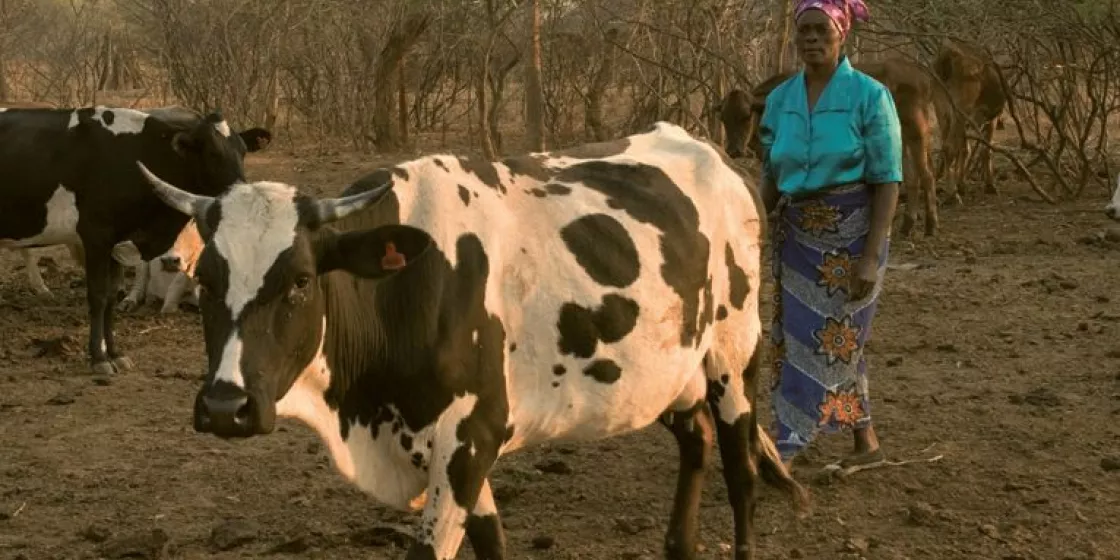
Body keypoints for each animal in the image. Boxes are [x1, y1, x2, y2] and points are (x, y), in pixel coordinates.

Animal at [0, 105, 271, 376]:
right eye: (213, 153)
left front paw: (115, 354)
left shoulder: (117, 244)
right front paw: (98, 358)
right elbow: (98, 295)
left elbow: (111, 295)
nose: (243, 195)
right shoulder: (96, 237)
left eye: (243, 152)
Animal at [140, 122, 810, 560]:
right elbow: (492, 540)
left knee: (740, 468)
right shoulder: (451, 447)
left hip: (734, 359)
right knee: (696, 441)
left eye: (300, 280)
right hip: (661, 375)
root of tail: (714, 154)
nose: (224, 407)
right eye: (207, 279)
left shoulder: (470, 438)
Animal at [716, 57, 945, 237]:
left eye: (746, 117)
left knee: (926, 174)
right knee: (913, 176)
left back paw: (931, 225)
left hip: (917, 132)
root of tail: (923, 74)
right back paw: (907, 225)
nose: (734, 150)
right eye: (724, 119)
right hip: (902, 138)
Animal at [931, 37, 1012, 200]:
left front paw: (962, 184)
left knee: (946, 145)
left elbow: (965, 149)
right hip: (960, 109)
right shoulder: (988, 119)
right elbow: (986, 150)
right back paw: (952, 194)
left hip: (942, 110)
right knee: (949, 147)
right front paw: (990, 186)